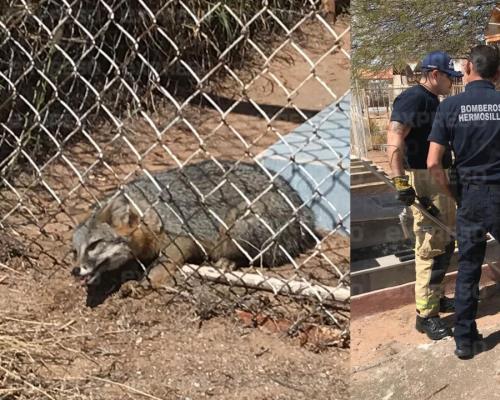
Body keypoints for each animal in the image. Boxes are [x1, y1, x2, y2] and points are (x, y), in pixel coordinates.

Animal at [72, 159, 318, 288]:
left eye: (94, 245)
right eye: (75, 251)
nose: (75, 270)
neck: (148, 210)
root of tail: (303, 210)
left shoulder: (184, 235)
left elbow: (165, 260)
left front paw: (151, 278)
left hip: (236, 227)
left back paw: (228, 261)